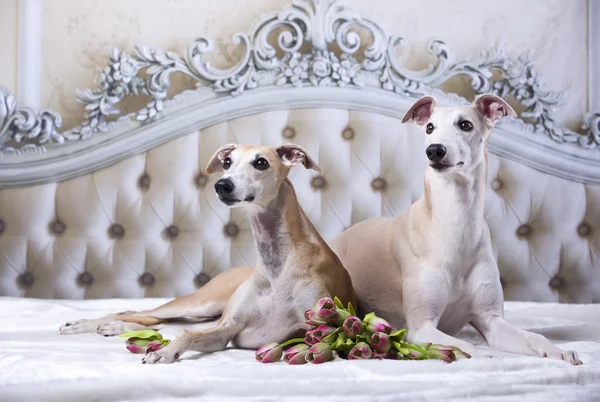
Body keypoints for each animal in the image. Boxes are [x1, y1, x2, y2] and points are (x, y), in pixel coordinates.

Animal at [61, 144, 358, 364]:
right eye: (227, 162)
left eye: (261, 162)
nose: (222, 185)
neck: (277, 262)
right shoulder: (228, 328)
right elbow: (186, 336)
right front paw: (164, 352)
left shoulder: (319, 329)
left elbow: (185, 334)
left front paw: (162, 351)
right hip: (202, 303)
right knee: (139, 312)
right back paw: (85, 324)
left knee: (160, 323)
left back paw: (113, 328)